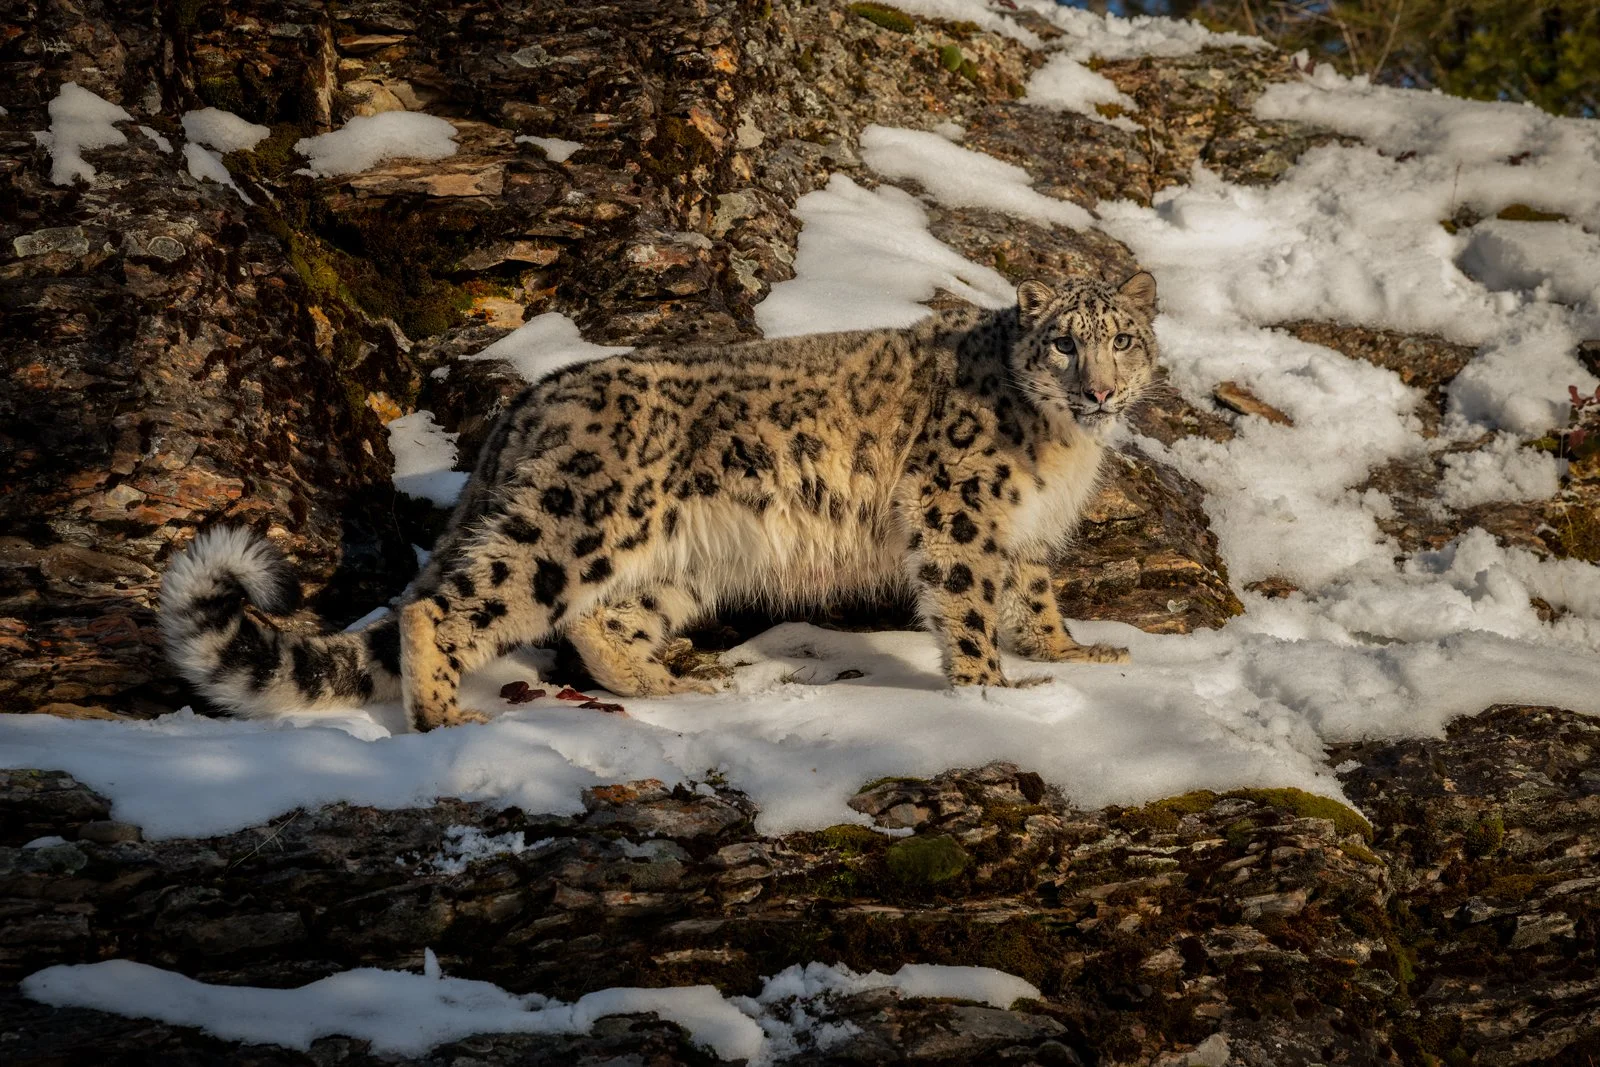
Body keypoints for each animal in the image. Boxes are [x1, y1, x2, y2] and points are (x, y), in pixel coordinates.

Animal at [160, 272, 1161, 731]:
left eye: (1122, 339)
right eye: (1064, 341)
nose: (1103, 389)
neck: (1061, 449)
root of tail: (531, 401)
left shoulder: (1023, 536)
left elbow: (1033, 595)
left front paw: (1074, 654)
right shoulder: (961, 509)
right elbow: (966, 602)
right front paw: (992, 691)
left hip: (685, 557)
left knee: (599, 620)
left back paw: (672, 683)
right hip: (575, 523)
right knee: (447, 605)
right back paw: (445, 715)